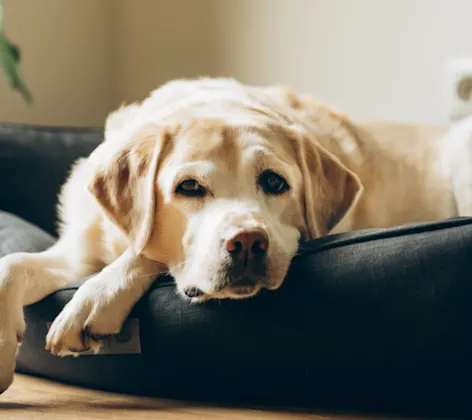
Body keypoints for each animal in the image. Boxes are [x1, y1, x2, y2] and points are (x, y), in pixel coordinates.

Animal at [0, 78, 472, 394]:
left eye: (275, 182)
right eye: (189, 187)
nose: (247, 243)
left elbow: (145, 252)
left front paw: (95, 300)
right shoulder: (77, 252)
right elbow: (12, 265)